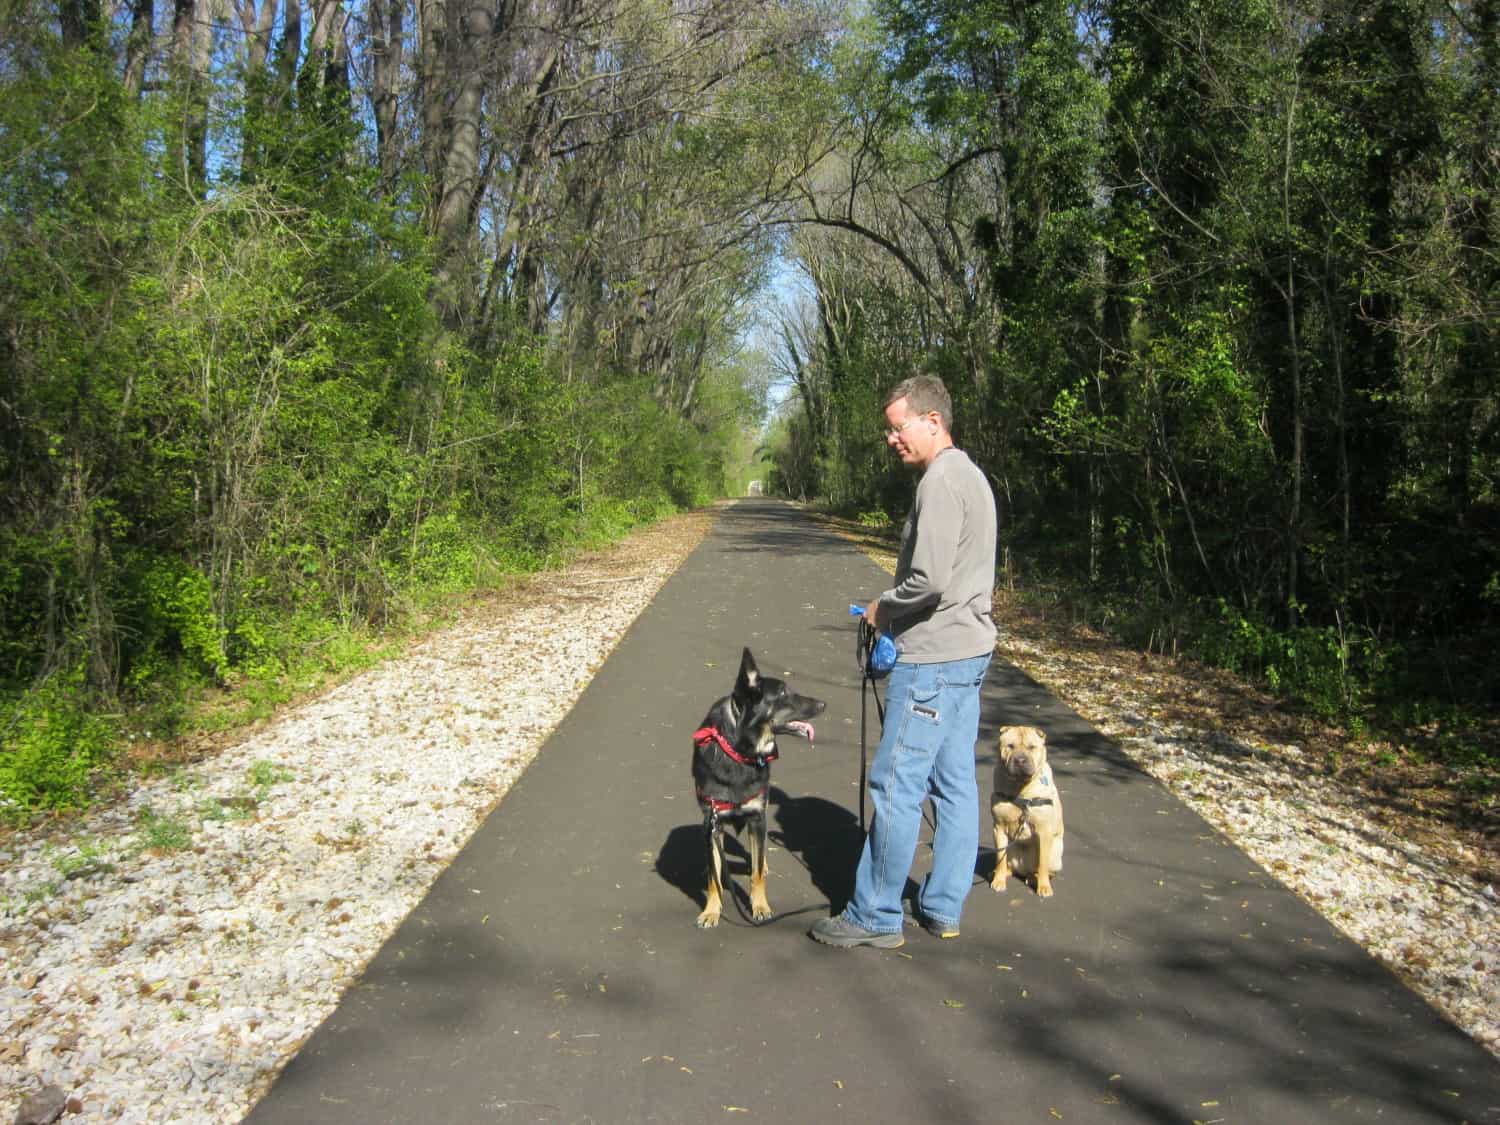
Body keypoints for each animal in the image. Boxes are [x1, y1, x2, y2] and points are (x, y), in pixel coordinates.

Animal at [687, 648, 828, 930]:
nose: (823, 705)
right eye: (783, 693)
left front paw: (760, 907)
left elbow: (756, 873)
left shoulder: (757, 818)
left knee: (758, 860)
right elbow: (715, 879)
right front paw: (711, 910)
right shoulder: (712, 822)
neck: (739, 753)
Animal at [990, 726, 1062, 906]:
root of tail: (1024, 870)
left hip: (1056, 850)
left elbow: (1042, 864)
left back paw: (1034, 878)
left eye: (1031, 747)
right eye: (1010, 746)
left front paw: (1044, 888)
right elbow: (1000, 858)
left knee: (1045, 869)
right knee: (1007, 863)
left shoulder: (1044, 831)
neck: (1020, 788)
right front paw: (998, 880)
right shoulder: (998, 828)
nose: (1020, 760)